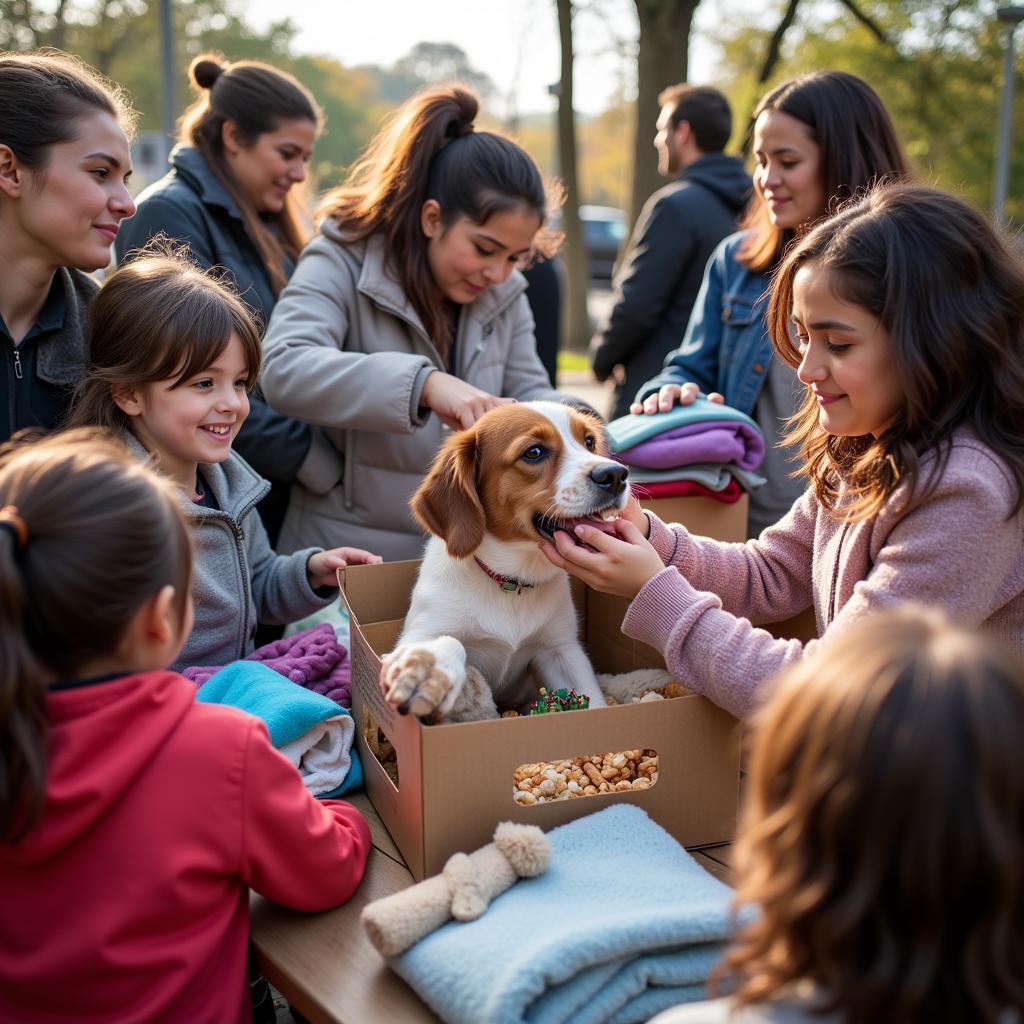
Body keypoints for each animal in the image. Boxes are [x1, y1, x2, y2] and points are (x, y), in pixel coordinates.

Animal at [380, 397, 626, 720]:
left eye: (588, 441)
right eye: (534, 452)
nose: (617, 474)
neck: (511, 581)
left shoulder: (561, 650)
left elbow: (593, 700)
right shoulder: (420, 632)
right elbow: (450, 641)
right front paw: (430, 667)